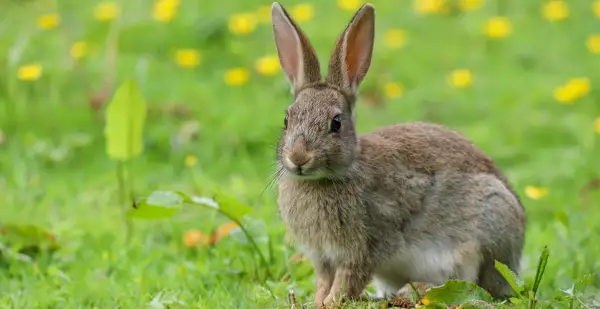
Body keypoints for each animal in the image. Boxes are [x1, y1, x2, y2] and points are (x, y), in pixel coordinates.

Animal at [270, 1, 528, 306]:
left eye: (336, 123)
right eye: (287, 119)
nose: (298, 158)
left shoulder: (362, 249)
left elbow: (346, 282)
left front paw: (331, 303)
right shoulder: (322, 257)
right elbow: (324, 281)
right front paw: (318, 301)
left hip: (488, 227)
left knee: (474, 284)